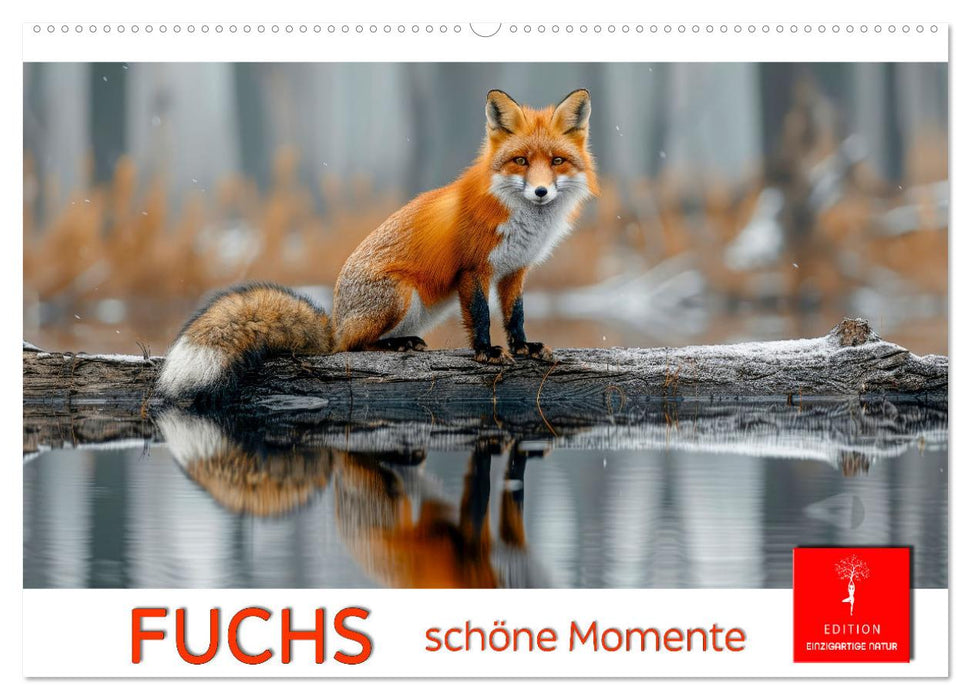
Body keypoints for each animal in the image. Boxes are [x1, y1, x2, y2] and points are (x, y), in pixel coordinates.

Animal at [156, 88, 598, 400]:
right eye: (521, 161)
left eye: (556, 162)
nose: (541, 192)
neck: (522, 221)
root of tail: (334, 322)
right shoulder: (473, 269)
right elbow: (480, 317)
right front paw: (487, 353)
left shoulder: (514, 270)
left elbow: (515, 315)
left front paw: (524, 347)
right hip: (399, 295)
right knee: (353, 349)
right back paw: (392, 344)